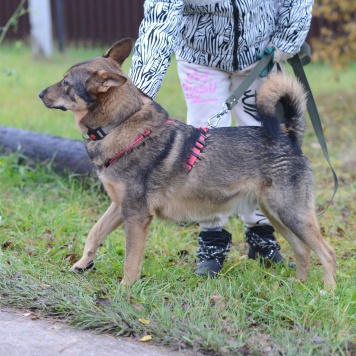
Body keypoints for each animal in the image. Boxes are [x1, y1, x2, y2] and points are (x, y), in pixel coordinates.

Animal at [39, 38, 336, 290]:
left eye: (66, 83)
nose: (41, 94)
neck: (119, 125)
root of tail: (289, 135)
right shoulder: (119, 207)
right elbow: (94, 233)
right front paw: (81, 264)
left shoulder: (136, 216)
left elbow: (131, 260)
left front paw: (125, 290)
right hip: (277, 214)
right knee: (303, 251)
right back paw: (298, 286)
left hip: (290, 213)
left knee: (326, 252)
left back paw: (327, 291)